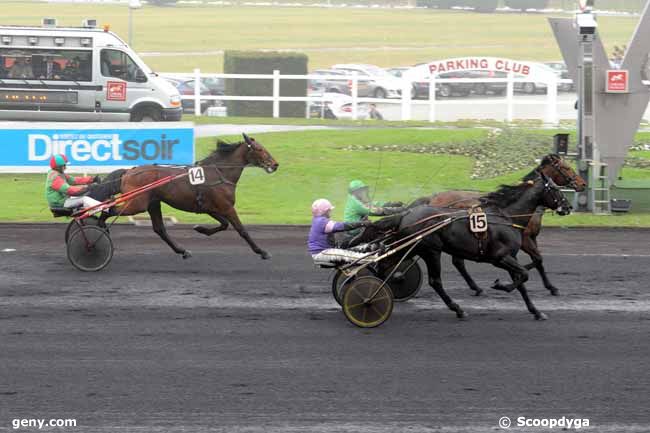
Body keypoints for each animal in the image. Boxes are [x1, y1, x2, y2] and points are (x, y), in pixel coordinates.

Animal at [90, 132, 278, 260]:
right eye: (259, 149)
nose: (275, 164)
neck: (220, 173)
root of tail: (129, 171)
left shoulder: (211, 207)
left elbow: (224, 225)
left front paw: (200, 229)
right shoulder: (227, 207)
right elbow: (241, 230)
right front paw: (262, 252)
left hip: (153, 203)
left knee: (160, 229)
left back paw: (182, 251)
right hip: (137, 203)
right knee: (109, 209)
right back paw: (99, 232)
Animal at [398, 173, 568, 320]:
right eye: (556, 188)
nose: (568, 206)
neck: (507, 217)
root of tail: (407, 215)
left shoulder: (512, 256)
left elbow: (523, 281)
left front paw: (536, 312)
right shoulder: (501, 257)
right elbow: (525, 273)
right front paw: (501, 285)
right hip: (432, 251)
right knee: (436, 281)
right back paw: (458, 308)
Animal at [408, 154, 584, 296]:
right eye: (567, 168)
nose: (582, 184)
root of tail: (432, 198)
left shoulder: (531, 238)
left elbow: (538, 261)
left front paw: (549, 285)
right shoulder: (526, 239)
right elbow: (537, 259)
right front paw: (548, 285)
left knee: (458, 262)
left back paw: (476, 287)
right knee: (458, 262)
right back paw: (476, 287)